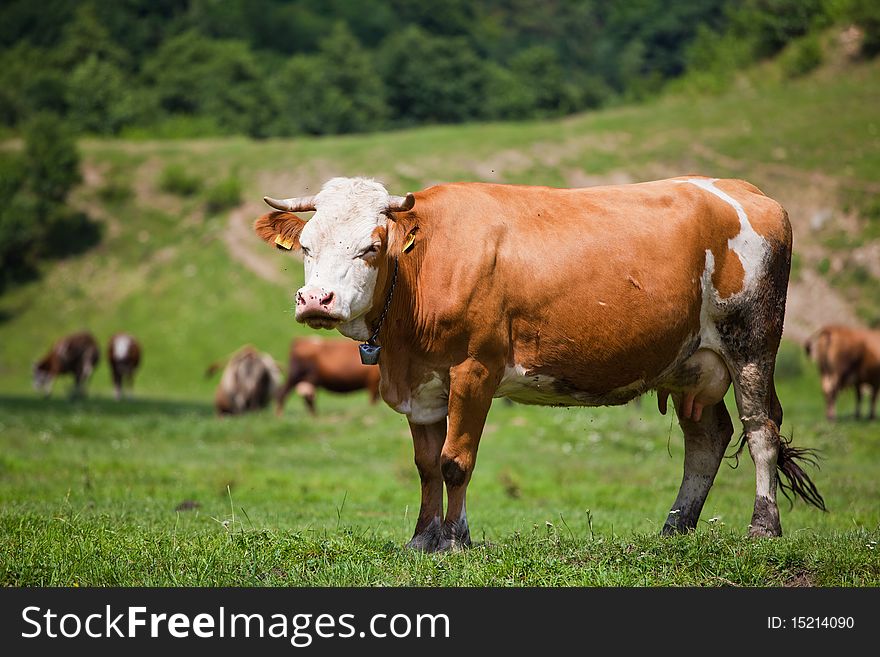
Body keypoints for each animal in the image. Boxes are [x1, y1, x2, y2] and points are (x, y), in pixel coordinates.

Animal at [253, 177, 824, 552]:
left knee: (760, 431)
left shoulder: (475, 370)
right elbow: (425, 466)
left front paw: (456, 541)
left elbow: (455, 461)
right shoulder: (422, 385)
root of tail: (744, 191)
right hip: (691, 363)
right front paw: (422, 539)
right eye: (306, 246)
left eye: (371, 247)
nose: (316, 300)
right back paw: (674, 528)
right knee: (708, 436)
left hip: (751, 342)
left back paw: (763, 527)